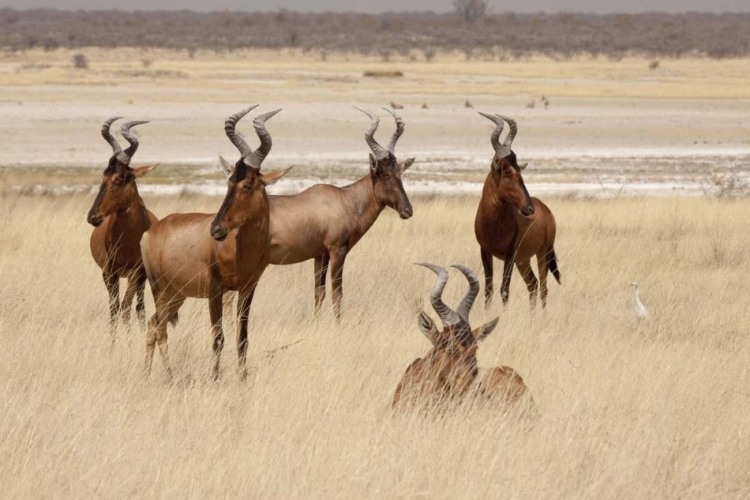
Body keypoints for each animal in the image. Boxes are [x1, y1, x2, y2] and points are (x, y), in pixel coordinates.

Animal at [88, 116, 159, 336]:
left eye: (119, 178)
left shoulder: (136, 272)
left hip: (142, 278)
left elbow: (126, 308)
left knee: (139, 307)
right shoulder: (109, 271)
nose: (93, 216)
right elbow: (114, 308)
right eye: (103, 175)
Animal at [141, 105, 294, 378]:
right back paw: (163, 376)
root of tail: (151, 232)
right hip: (160, 290)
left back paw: (157, 375)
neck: (240, 248)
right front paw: (214, 378)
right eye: (229, 181)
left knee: (154, 324)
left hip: (177, 293)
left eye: (247, 184)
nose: (216, 229)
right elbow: (218, 337)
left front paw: (243, 378)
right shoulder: (215, 289)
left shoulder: (248, 288)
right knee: (158, 328)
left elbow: (242, 337)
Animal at [217, 109, 418, 320]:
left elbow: (318, 293)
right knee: (228, 297)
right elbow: (337, 293)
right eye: (385, 175)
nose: (407, 210)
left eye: (399, 173)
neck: (344, 199)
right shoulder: (337, 250)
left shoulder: (320, 255)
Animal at [472, 113, 560, 308]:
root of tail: (547, 210)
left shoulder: (510, 255)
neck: (493, 223)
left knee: (543, 287)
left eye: (519, 169)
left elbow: (504, 289)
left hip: (543, 253)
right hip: (523, 260)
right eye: (507, 171)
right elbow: (488, 290)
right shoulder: (484, 252)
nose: (529, 208)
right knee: (533, 284)